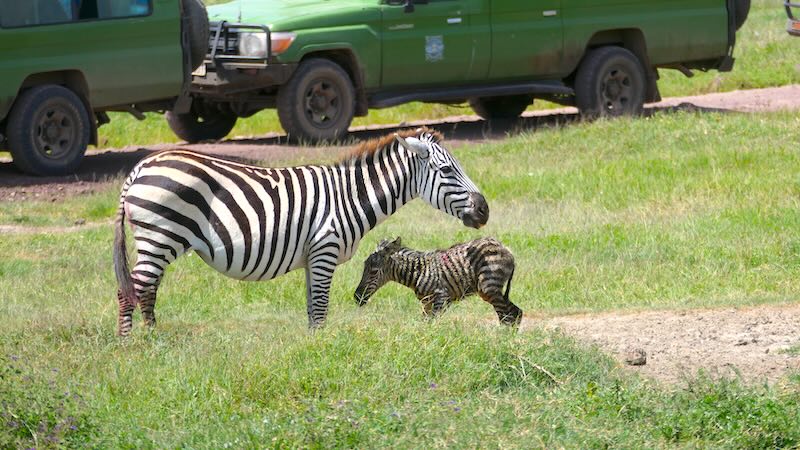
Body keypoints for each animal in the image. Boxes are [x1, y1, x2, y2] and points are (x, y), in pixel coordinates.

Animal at [113, 127, 489, 335]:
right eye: (447, 170)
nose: (485, 210)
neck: (348, 197)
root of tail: (141, 168)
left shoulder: (313, 256)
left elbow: (312, 307)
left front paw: (312, 346)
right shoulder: (325, 249)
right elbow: (321, 306)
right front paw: (322, 352)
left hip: (158, 241)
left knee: (146, 289)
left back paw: (152, 337)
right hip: (160, 237)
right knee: (132, 289)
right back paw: (132, 345)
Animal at [353, 237, 522, 326]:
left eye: (374, 272)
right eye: (363, 268)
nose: (357, 298)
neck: (417, 273)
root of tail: (505, 249)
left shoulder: (441, 298)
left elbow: (431, 324)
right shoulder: (426, 303)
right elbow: (424, 324)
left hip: (489, 288)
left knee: (506, 317)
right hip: (493, 291)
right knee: (516, 313)